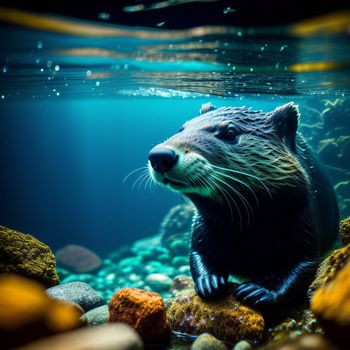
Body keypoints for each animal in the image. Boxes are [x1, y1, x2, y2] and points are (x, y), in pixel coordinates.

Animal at [148, 102, 340, 310]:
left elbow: (303, 266)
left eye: (230, 132)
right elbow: (197, 253)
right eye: (181, 128)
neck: (244, 222)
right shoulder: (201, 224)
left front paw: (257, 291)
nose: (159, 156)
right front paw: (210, 282)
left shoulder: (304, 218)